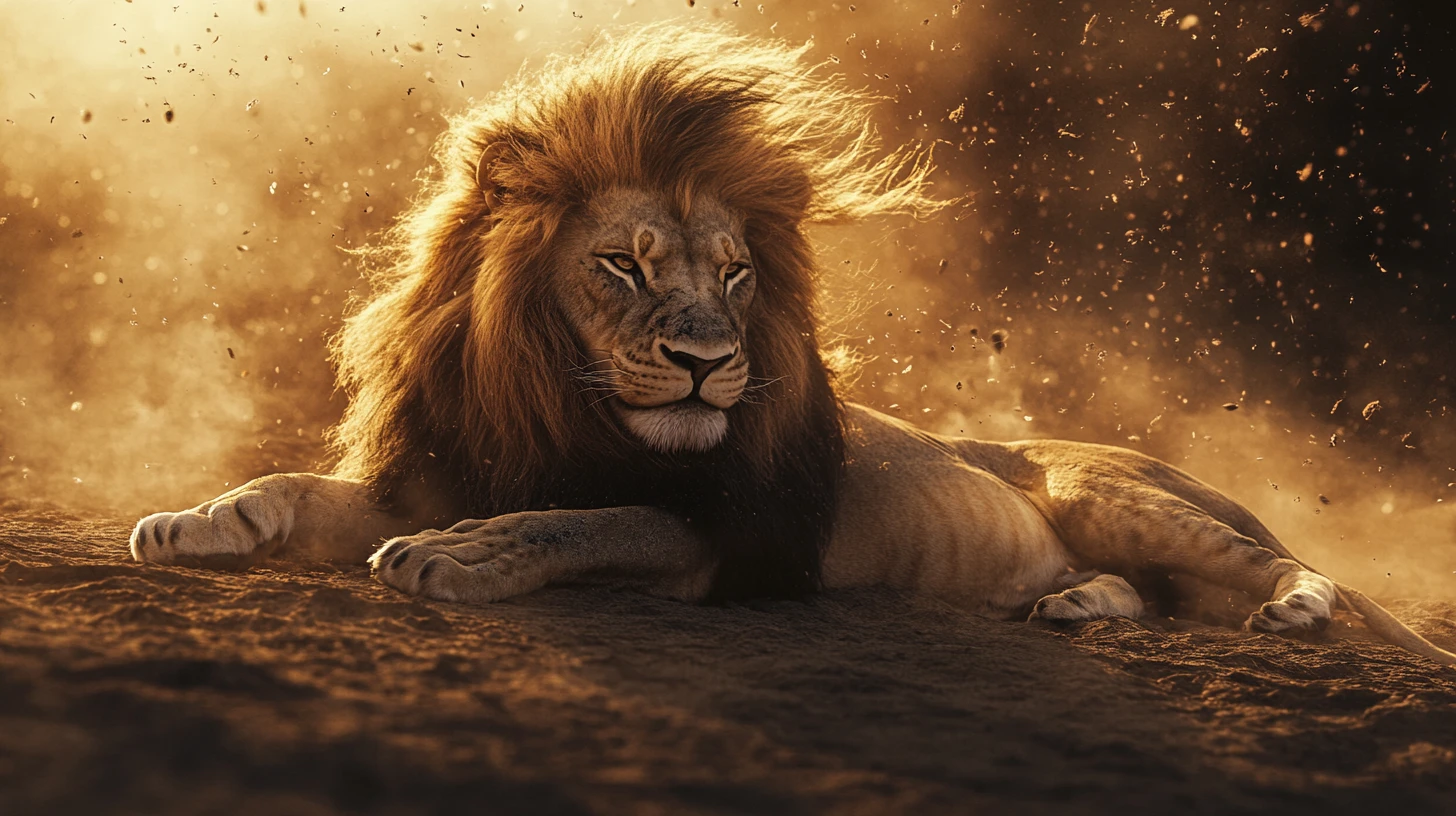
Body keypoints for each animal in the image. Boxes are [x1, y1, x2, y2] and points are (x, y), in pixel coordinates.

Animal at [129, 25, 1454, 666]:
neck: (560, 400)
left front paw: (462, 556)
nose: (712, 362)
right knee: (1153, 594)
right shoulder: (453, 463)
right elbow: (293, 486)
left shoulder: (737, 536)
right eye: (623, 267)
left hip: (1118, 494)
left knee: (1278, 568)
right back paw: (1075, 603)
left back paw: (1292, 611)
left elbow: (590, 520)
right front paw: (197, 519)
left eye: (736, 274)